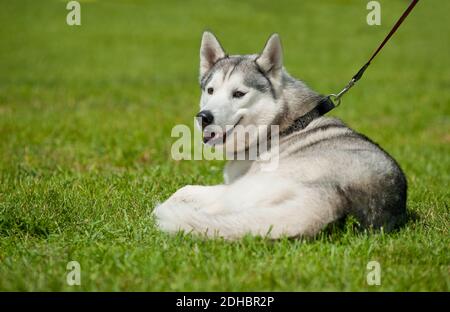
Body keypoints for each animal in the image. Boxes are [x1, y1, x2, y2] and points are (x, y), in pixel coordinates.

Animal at [153, 31, 406, 240]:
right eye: (210, 90)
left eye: (239, 93)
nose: (204, 117)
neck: (281, 126)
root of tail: (336, 196)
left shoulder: (234, 185)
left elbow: (185, 190)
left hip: (249, 187)